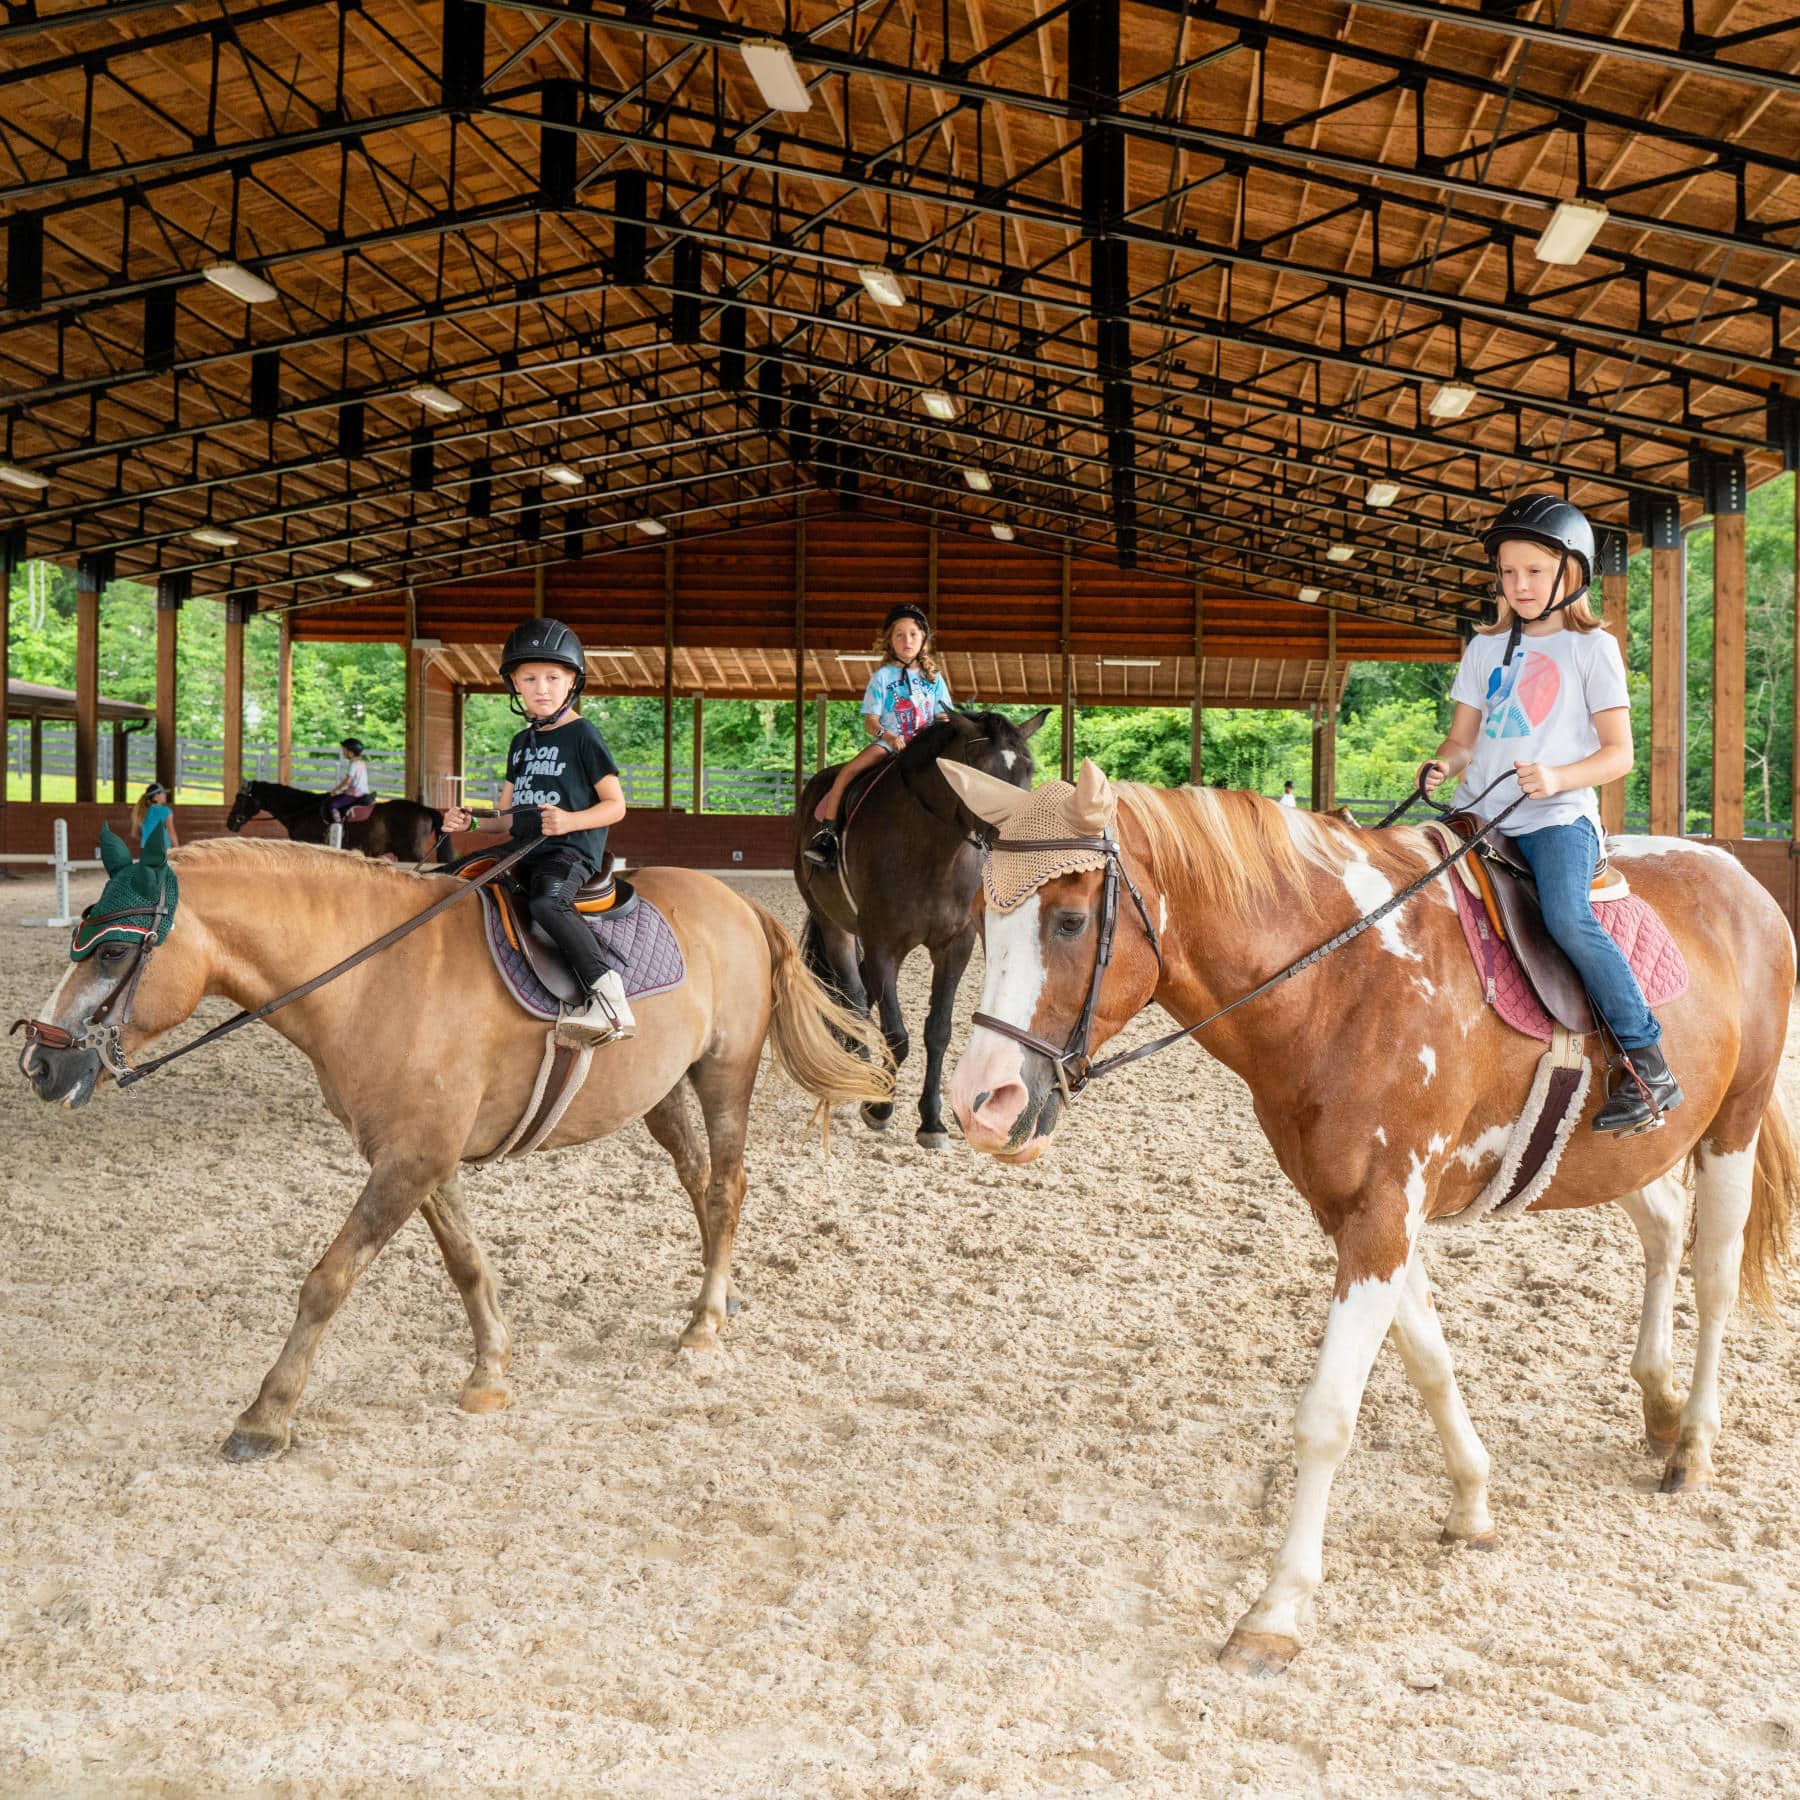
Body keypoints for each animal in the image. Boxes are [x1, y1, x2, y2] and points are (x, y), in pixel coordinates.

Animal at [14, 842, 885, 1461]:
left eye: (114, 953)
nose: (41, 1063)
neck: (374, 976)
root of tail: (738, 902)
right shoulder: (416, 1155)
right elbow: (466, 1262)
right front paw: (490, 1372)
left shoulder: (412, 1159)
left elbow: (326, 1282)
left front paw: (266, 1417)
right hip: (660, 1093)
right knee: (701, 1183)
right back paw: (718, 1296)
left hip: (724, 1074)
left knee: (729, 1184)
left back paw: (703, 1327)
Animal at [799, 705, 1051, 1144]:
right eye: (977, 772)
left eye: (1028, 769)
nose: (1018, 839)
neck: (933, 850)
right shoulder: (882, 945)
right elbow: (896, 1034)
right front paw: (880, 1107)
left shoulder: (955, 946)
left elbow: (938, 1032)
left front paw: (931, 1120)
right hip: (834, 925)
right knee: (852, 995)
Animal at [950, 756, 1792, 1670]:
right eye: (983, 923)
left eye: (1069, 921)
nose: (979, 1105)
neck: (1345, 981)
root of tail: (1736, 873)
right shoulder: (1364, 1215)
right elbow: (1429, 1363)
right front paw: (1472, 1504)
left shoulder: (1385, 1213)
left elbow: (1327, 1415)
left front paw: (1277, 1610)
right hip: (1628, 1150)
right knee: (1664, 1226)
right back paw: (1660, 1404)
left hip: (1732, 1125)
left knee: (1713, 1278)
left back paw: (1694, 1445)